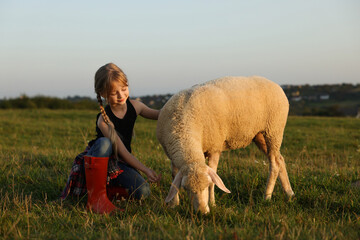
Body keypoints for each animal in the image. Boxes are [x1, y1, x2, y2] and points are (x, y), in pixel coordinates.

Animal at [157, 76, 296, 213]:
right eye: (186, 188)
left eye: (206, 185)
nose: (202, 212)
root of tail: (277, 85)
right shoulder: (172, 156)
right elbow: (174, 177)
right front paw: (174, 204)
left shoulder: (215, 147)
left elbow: (214, 176)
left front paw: (212, 203)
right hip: (259, 135)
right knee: (279, 159)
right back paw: (289, 193)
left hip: (274, 130)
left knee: (274, 163)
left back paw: (267, 196)